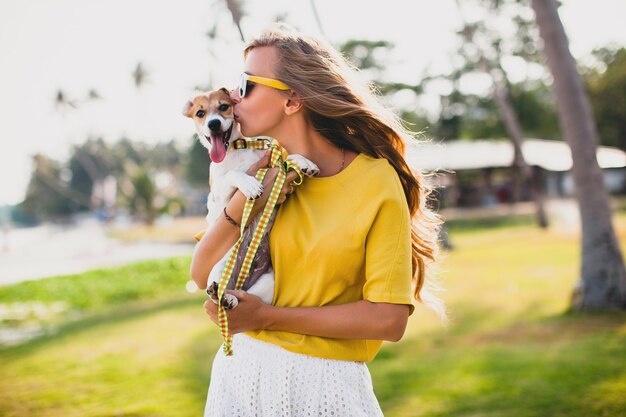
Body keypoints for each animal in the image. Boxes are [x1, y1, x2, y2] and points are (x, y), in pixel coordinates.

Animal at [180, 87, 316, 308]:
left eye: (224, 106)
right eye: (200, 113)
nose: (213, 124)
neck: (237, 149)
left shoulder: (274, 164)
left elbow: (286, 159)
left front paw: (304, 162)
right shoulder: (220, 192)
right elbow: (233, 174)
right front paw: (250, 185)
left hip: (269, 281)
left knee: (249, 296)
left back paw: (232, 298)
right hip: (219, 267)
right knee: (219, 289)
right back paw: (220, 294)